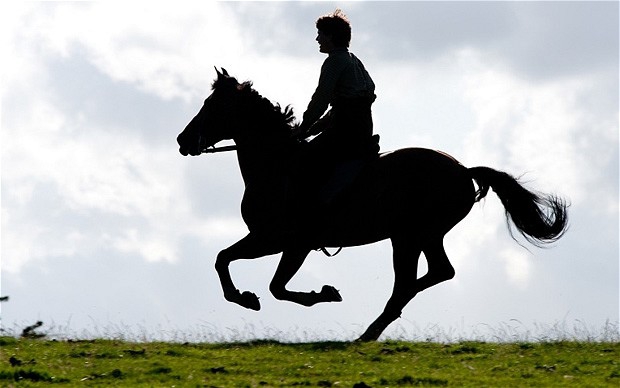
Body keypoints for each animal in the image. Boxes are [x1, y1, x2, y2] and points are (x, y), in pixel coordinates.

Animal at [177, 68, 568, 342]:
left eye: (211, 106)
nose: (182, 140)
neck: (276, 165)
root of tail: (463, 170)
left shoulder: (283, 241)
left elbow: (265, 281)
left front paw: (309, 295)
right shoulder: (273, 241)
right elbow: (227, 261)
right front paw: (250, 297)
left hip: (409, 237)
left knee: (408, 282)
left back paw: (369, 331)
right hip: (423, 236)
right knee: (436, 273)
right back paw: (376, 326)